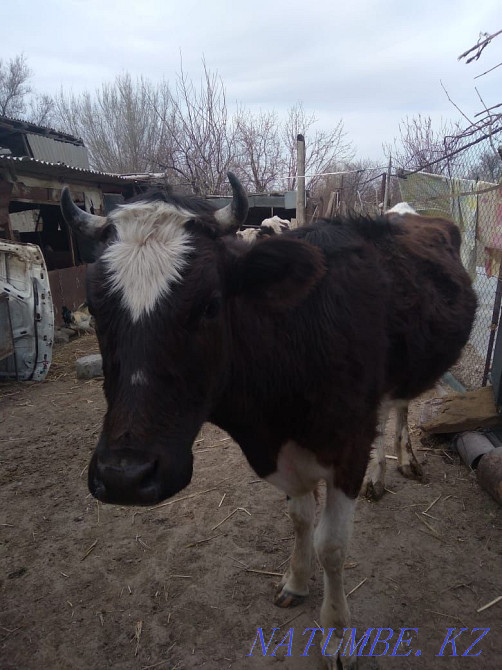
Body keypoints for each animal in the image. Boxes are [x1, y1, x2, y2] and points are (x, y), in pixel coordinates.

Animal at [61, 176, 476, 669]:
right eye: (96, 308)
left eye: (210, 304)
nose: (124, 476)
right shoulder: (286, 454)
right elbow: (299, 519)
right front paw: (296, 581)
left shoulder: (347, 447)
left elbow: (331, 545)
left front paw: (337, 634)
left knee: (400, 407)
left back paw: (404, 463)